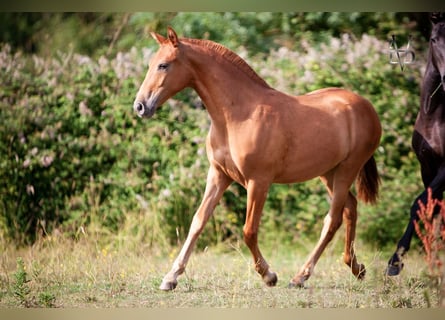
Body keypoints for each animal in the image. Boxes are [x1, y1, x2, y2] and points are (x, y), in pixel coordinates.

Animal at [134, 27, 380, 290]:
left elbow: (249, 231)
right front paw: (170, 277)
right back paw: (356, 268)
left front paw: (268, 275)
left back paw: (300, 277)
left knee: (332, 220)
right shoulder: (218, 175)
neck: (239, 114)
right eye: (150, 64)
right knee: (350, 209)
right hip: (329, 173)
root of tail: (365, 106)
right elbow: (198, 221)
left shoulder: (258, 181)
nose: (140, 106)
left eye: (163, 65)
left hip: (347, 170)